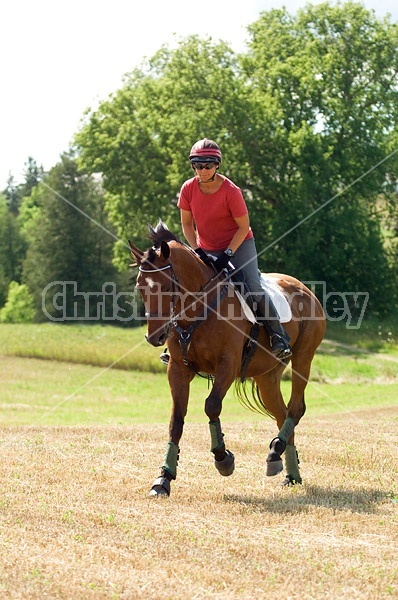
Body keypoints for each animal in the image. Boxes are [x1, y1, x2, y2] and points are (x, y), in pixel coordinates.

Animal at [131, 221, 326, 496]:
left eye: (166, 287)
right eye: (140, 288)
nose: (154, 337)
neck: (198, 309)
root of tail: (305, 289)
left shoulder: (228, 365)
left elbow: (211, 406)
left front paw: (223, 459)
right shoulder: (178, 369)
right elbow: (176, 420)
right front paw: (163, 478)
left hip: (303, 357)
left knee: (296, 408)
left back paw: (276, 451)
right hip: (267, 376)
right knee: (281, 412)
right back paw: (286, 468)